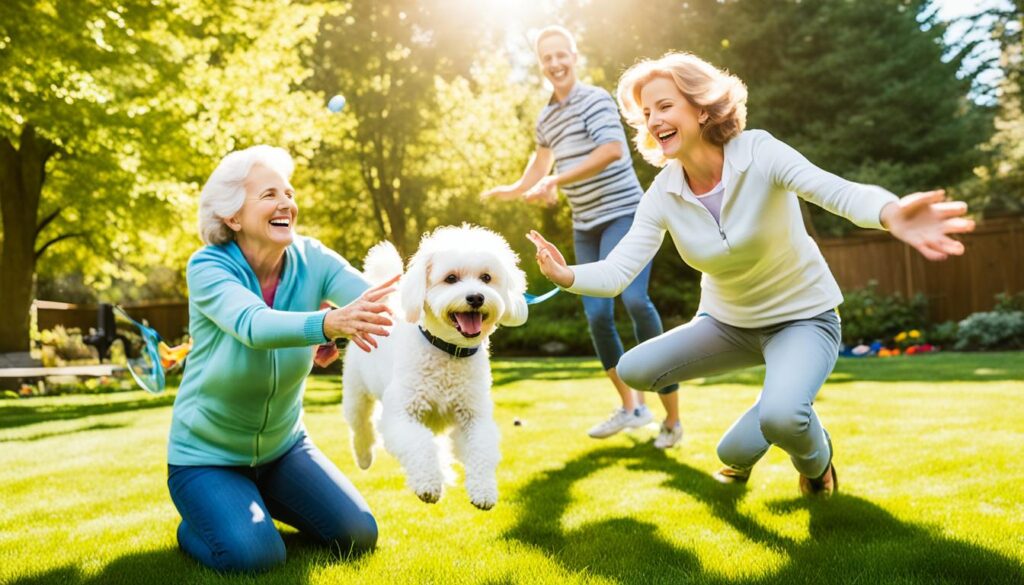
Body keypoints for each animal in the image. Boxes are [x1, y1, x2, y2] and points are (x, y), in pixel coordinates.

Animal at [342, 226, 528, 510]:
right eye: (451, 278)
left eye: (486, 278)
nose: (476, 297)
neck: (448, 352)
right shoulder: (402, 415)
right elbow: (419, 445)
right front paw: (428, 484)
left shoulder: (473, 416)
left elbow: (481, 450)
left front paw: (483, 490)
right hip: (357, 392)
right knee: (361, 425)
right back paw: (363, 456)